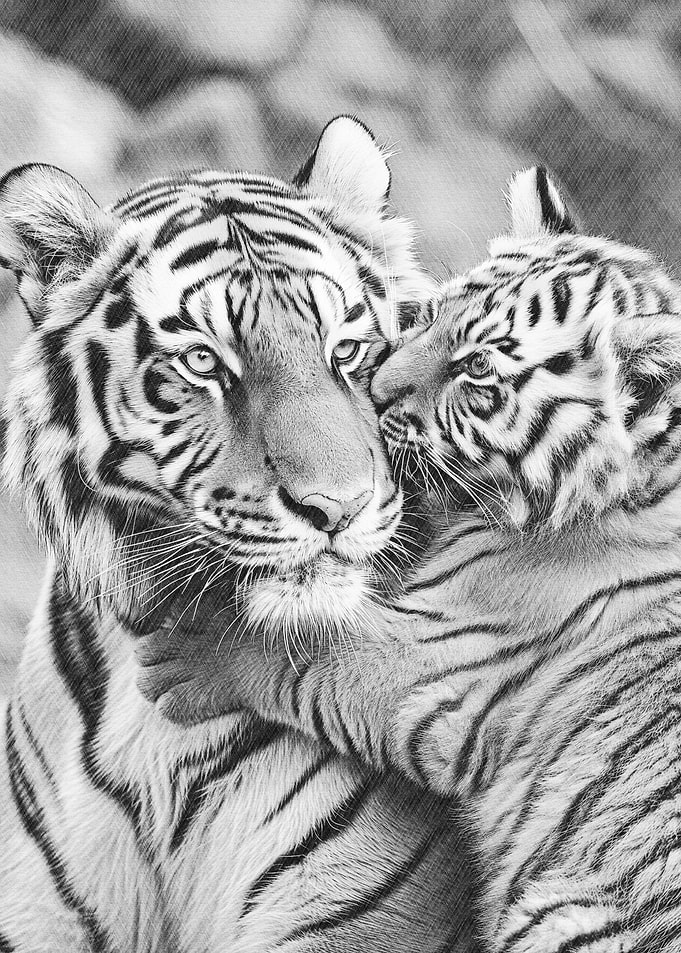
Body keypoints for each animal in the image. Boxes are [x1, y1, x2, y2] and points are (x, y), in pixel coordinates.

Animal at [137, 166, 681, 952]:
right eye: (431, 314)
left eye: (477, 368)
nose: (379, 387)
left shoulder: (438, 663)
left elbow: (315, 649)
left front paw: (194, 647)